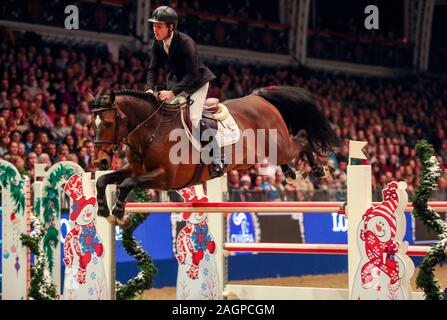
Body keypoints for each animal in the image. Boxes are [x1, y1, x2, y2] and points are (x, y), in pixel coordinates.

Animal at [91, 85, 340, 225]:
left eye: (108, 123)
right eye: (92, 123)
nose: (99, 161)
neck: (151, 130)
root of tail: (260, 98)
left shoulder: (165, 178)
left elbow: (126, 184)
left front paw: (119, 212)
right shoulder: (135, 169)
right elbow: (104, 180)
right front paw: (104, 210)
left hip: (279, 144)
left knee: (303, 138)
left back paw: (318, 169)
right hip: (259, 156)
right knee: (287, 154)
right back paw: (292, 173)